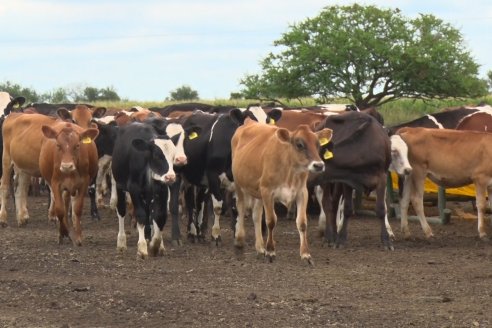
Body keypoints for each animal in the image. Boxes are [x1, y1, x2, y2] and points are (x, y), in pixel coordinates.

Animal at [232, 118, 332, 264]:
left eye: (318, 144)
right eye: (299, 144)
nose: (319, 165)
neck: (289, 170)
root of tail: (249, 122)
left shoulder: (302, 192)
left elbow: (302, 223)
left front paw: (305, 254)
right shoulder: (267, 191)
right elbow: (270, 221)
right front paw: (271, 251)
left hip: (258, 191)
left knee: (256, 216)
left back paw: (260, 247)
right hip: (239, 183)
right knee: (240, 207)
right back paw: (239, 239)